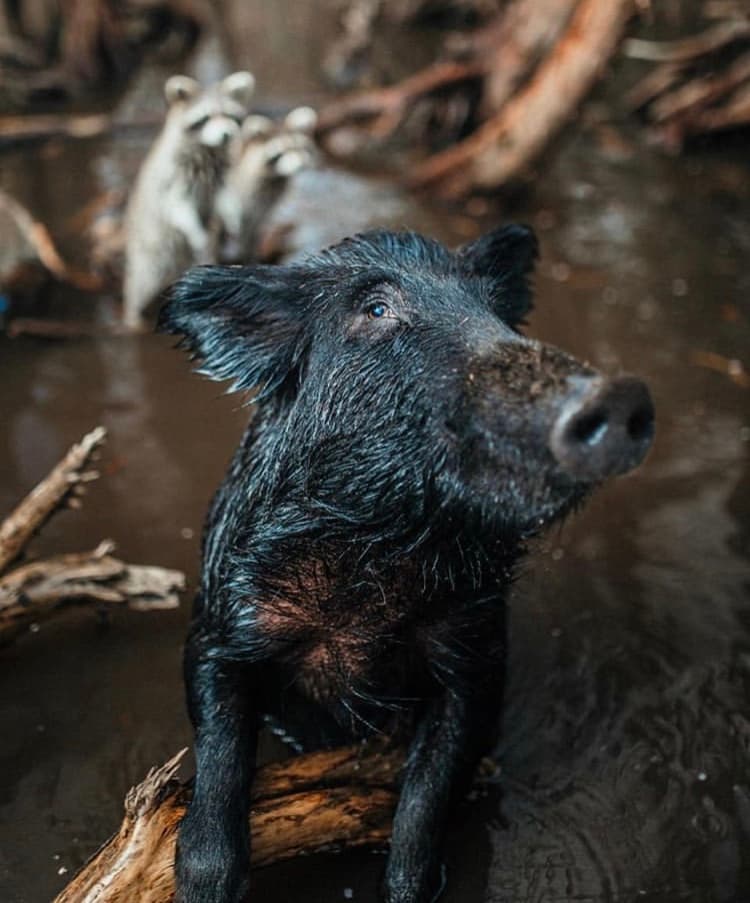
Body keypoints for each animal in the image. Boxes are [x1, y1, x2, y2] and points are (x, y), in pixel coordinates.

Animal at [121, 70, 256, 330]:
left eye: (230, 115)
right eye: (206, 117)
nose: (226, 135)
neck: (208, 149)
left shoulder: (221, 174)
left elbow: (225, 199)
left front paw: (232, 220)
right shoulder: (173, 175)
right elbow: (178, 206)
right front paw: (193, 228)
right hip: (151, 248)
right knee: (141, 284)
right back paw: (132, 314)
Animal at [217, 105, 318, 264]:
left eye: (298, 147)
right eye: (280, 152)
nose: (299, 166)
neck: (275, 177)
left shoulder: (263, 202)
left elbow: (252, 228)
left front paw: (249, 256)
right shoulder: (235, 188)